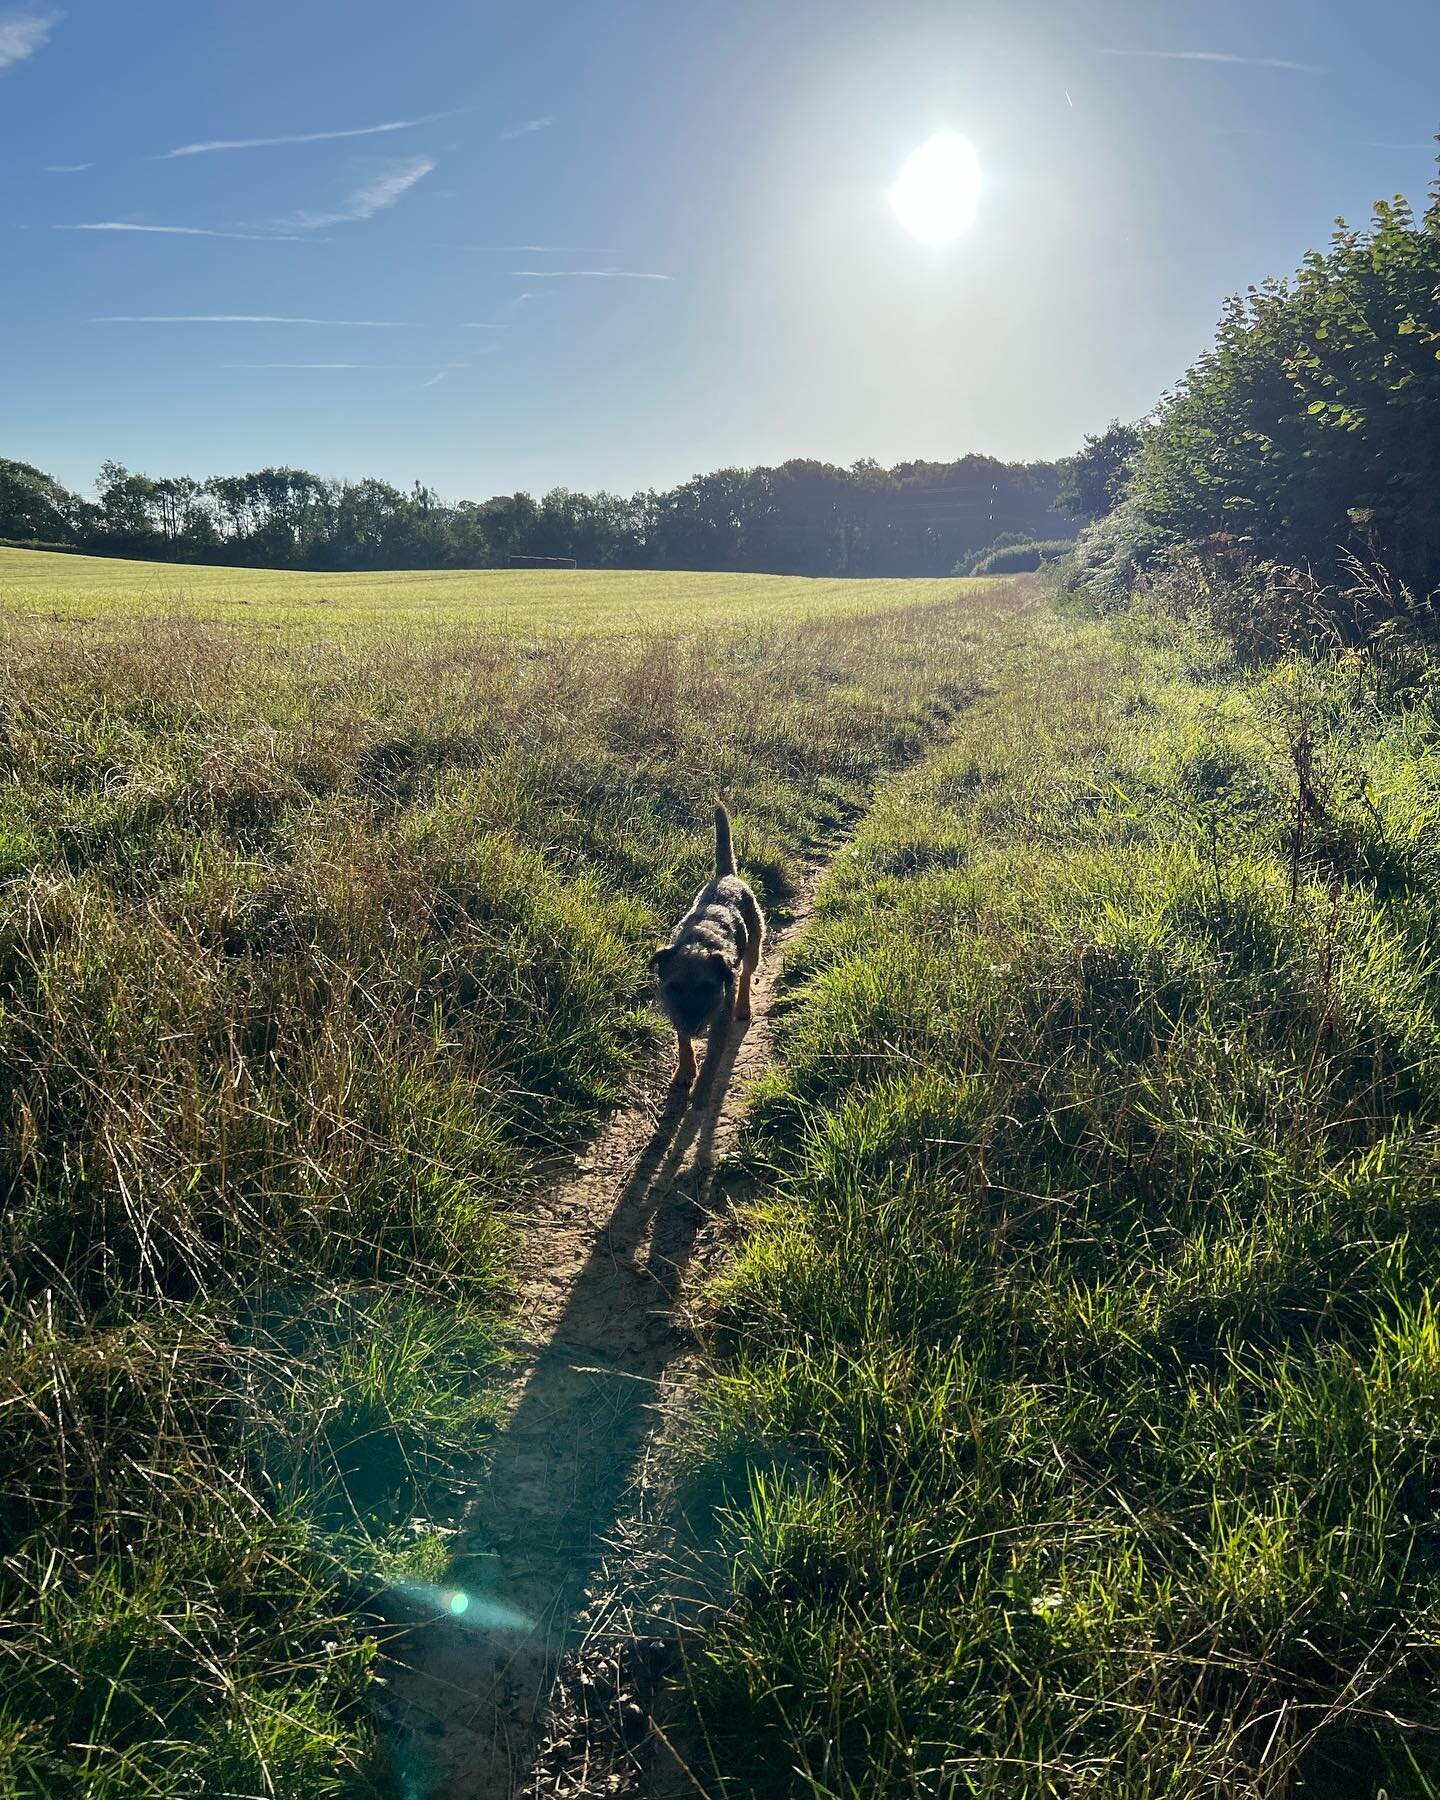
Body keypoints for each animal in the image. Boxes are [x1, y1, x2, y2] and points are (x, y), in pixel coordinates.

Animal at [651, 802, 763, 1080]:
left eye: (707, 987)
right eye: (674, 987)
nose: (692, 1025)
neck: (698, 941)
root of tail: (725, 876)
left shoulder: (721, 1015)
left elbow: (712, 1057)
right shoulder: (675, 1012)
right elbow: (682, 1041)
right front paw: (685, 1069)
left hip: (754, 946)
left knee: (746, 974)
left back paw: (743, 1006)